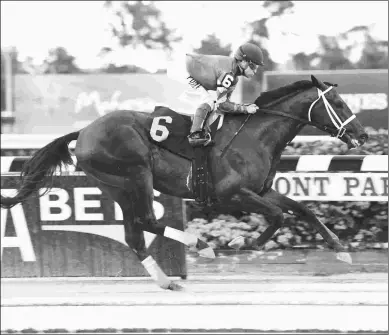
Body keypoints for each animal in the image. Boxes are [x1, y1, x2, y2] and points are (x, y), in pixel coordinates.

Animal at [0, 76, 366, 292]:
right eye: (339, 103)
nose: (362, 135)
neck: (254, 135)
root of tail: (85, 131)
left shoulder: (262, 190)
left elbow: (302, 209)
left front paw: (340, 249)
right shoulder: (231, 194)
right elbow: (278, 217)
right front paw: (240, 243)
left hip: (116, 186)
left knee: (134, 233)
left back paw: (166, 281)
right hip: (136, 174)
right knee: (147, 220)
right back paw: (199, 244)